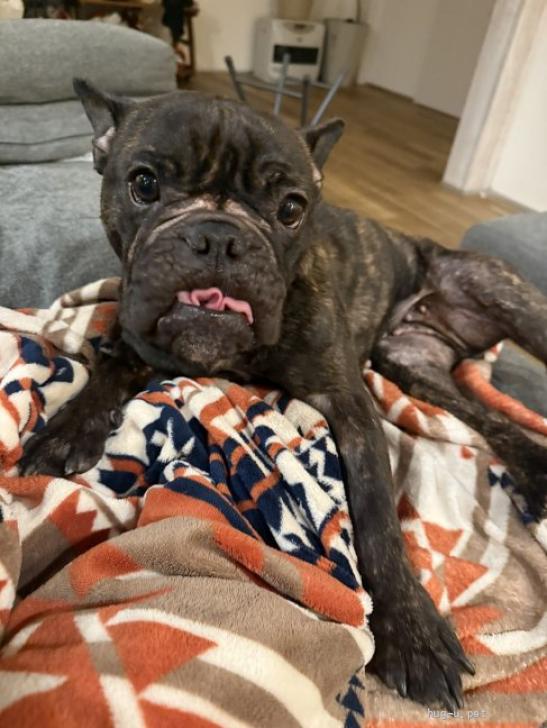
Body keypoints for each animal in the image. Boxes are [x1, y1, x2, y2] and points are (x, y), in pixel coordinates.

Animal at [21, 80, 547, 711]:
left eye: (292, 210)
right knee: (493, 421)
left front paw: (412, 634)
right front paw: (65, 430)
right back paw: (538, 472)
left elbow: (377, 520)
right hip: (414, 366)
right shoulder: (135, 336)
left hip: (509, 299)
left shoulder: (351, 407)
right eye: (143, 184)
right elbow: (104, 372)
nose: (218, 237)